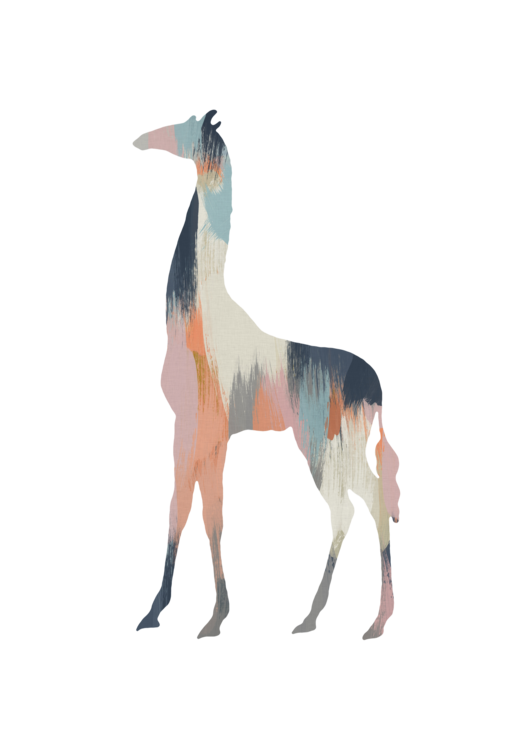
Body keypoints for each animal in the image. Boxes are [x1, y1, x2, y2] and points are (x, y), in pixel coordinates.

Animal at [133, 108, 400, 640]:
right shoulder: (193, 434)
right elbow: (189, 512)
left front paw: (205, 619)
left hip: (321, 448)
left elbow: (200, 516)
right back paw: (369, 621)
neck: (197, 315)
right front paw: (177, 614)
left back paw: (317, 619)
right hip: (342, 449)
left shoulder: (202, 432)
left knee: (345, 510)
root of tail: (372, 384)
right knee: (371, 503)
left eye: (184, 122)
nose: (140, 140)